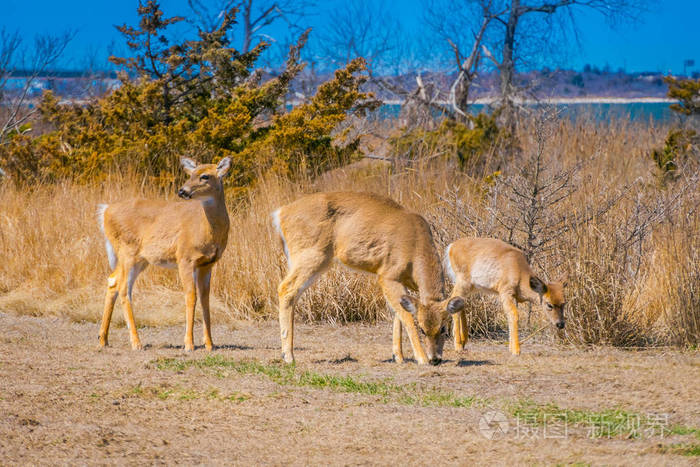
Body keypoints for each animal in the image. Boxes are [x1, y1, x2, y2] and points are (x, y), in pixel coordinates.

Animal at [97, 156, 232, 352]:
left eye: (205, 176)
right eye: (191, 174)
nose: (182, 191)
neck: (205, 230)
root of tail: (105, 211)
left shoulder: (208, 264)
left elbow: (205, 299)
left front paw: (210, 344)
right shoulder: (185, 258)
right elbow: (191, 296)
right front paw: (189, 344)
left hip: (139, 259)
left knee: (113, 281)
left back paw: (103, 339)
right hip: (127, 251)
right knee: (124, 289)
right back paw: (136, 342)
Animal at [274, 192, 464, 368]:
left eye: (444, 328)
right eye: (423, 330)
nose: (435, 359)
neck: (415, 249)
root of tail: (281, 213)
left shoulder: (400, 281)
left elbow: (397, 314)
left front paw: (398, 357)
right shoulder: (387, 275)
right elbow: (406, 316)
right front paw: (421, 358)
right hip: (312, 255)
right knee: (286, 288)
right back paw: (289, 357)